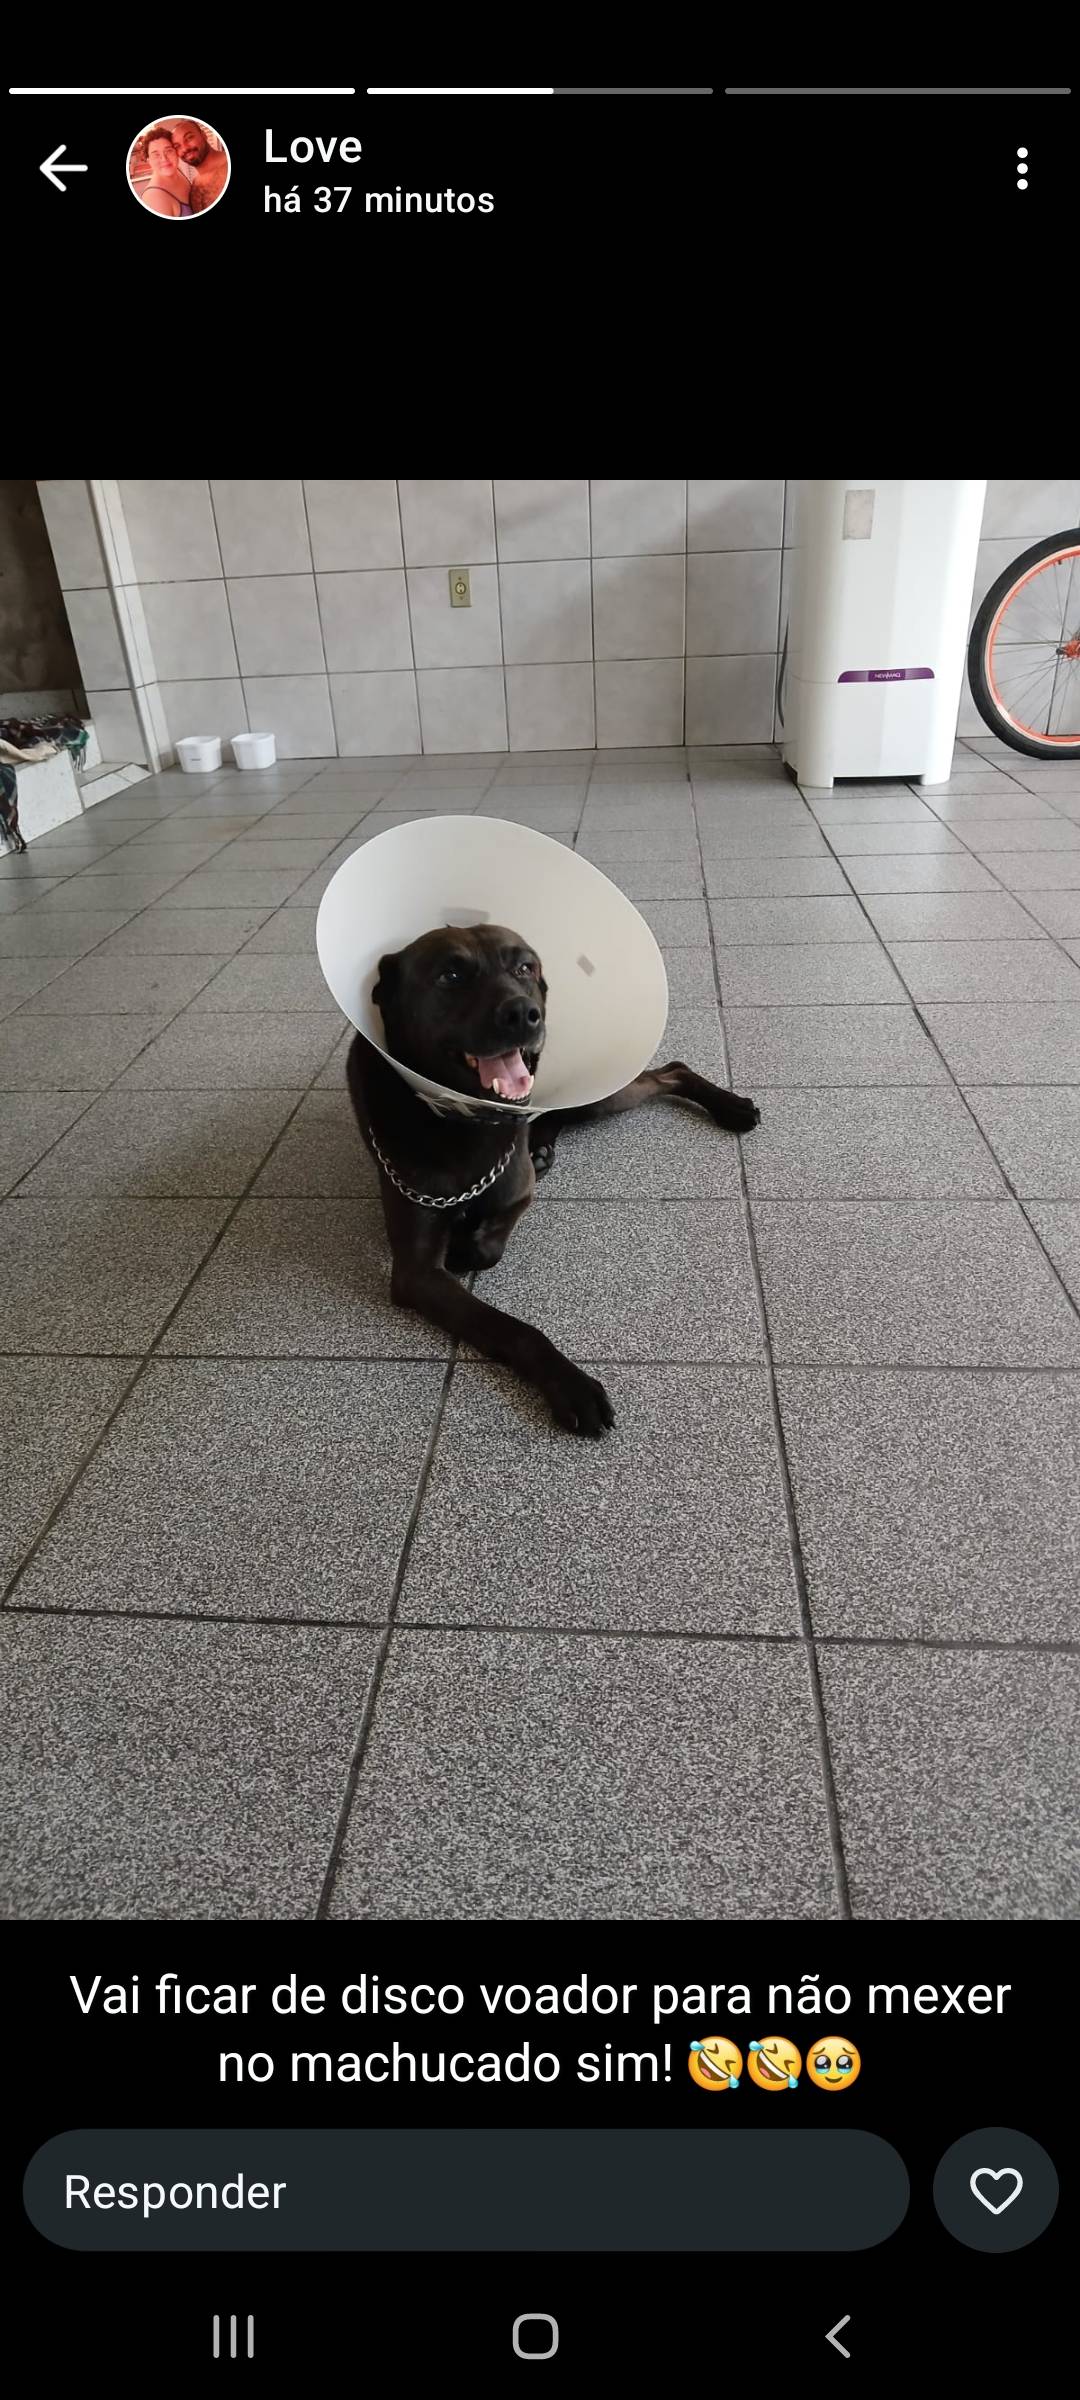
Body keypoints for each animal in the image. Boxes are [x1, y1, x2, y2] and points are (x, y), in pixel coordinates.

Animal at [345, 923, 760, 1437]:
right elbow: (506, 1324)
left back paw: (730, 1107)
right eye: (450, 974)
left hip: (602, 1094)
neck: (464, 1122)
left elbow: (494, 1240)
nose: (526, 1013)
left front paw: (471, 1243)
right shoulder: (416, 1272)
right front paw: (570, 1384)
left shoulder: (517, 1189)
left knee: (670, 1072)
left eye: (525, 966)